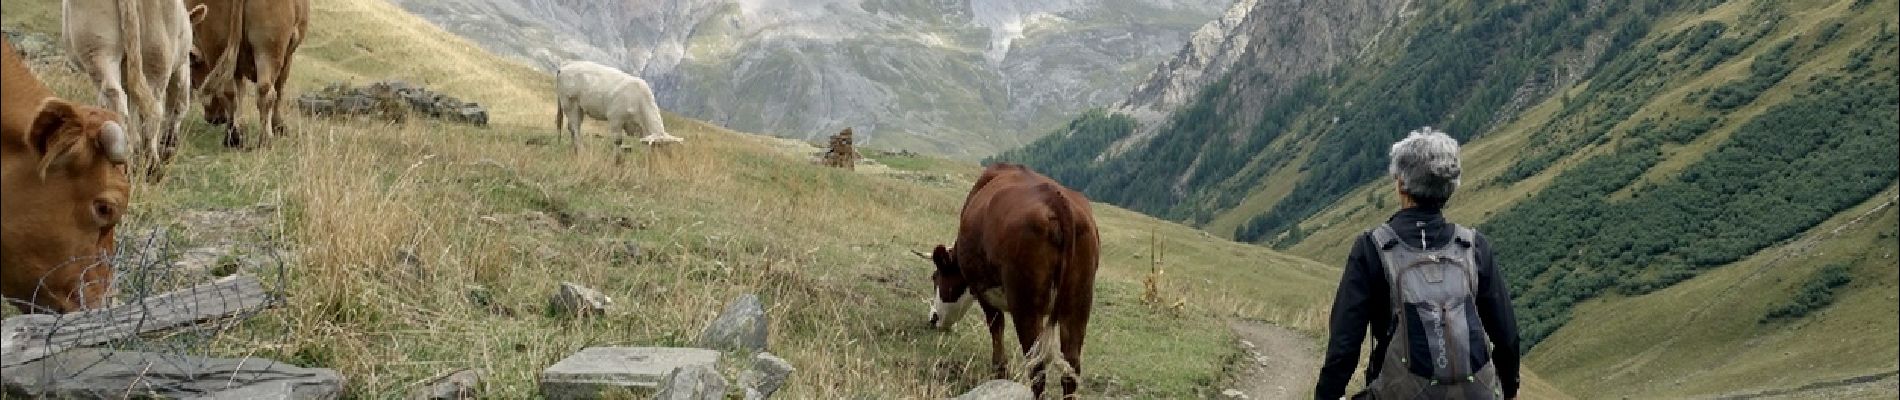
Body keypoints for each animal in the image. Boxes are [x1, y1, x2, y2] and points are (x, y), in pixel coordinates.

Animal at [188, 0, 307, 148]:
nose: (215, 119)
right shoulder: (287, 57)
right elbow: (279, 90)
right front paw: (279, 126)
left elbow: (240, 92)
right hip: (268, 48)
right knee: (266, 92)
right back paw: (265, 140)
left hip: (216, 45)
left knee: (228, 92)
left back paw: (233, 137)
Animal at [551, 60, 684, 151]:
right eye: (657, 146)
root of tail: (565, 66)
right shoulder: (615, 118)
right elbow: (618, 142)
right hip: (569, 103)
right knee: (575, 128)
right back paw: (581, 151)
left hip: (578, 107)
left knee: (571, 127)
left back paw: (574, 150)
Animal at [919, 162, 1102, 396]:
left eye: (935, 277)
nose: (933, 318)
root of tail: (1056, 200)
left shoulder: (983, 291)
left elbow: (997, 331)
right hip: (1078, 304)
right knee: (1071, 369)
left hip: (1025, 304)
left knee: (1037, 368)